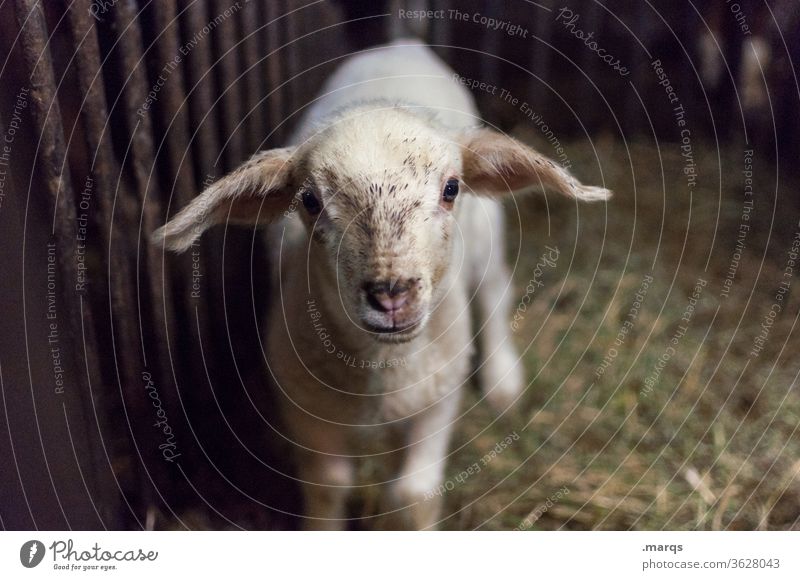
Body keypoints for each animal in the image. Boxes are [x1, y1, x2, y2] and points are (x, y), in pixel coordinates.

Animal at [155, 39, 608, 532]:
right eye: (309, 201)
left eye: (451, 188)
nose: (391, 295)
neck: (382, 369)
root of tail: (403, 44)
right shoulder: (303, 406)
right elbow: (329, 486)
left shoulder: (439, 397)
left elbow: (413, 494)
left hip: (488, 230)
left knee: (495, 291)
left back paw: (503, 382)